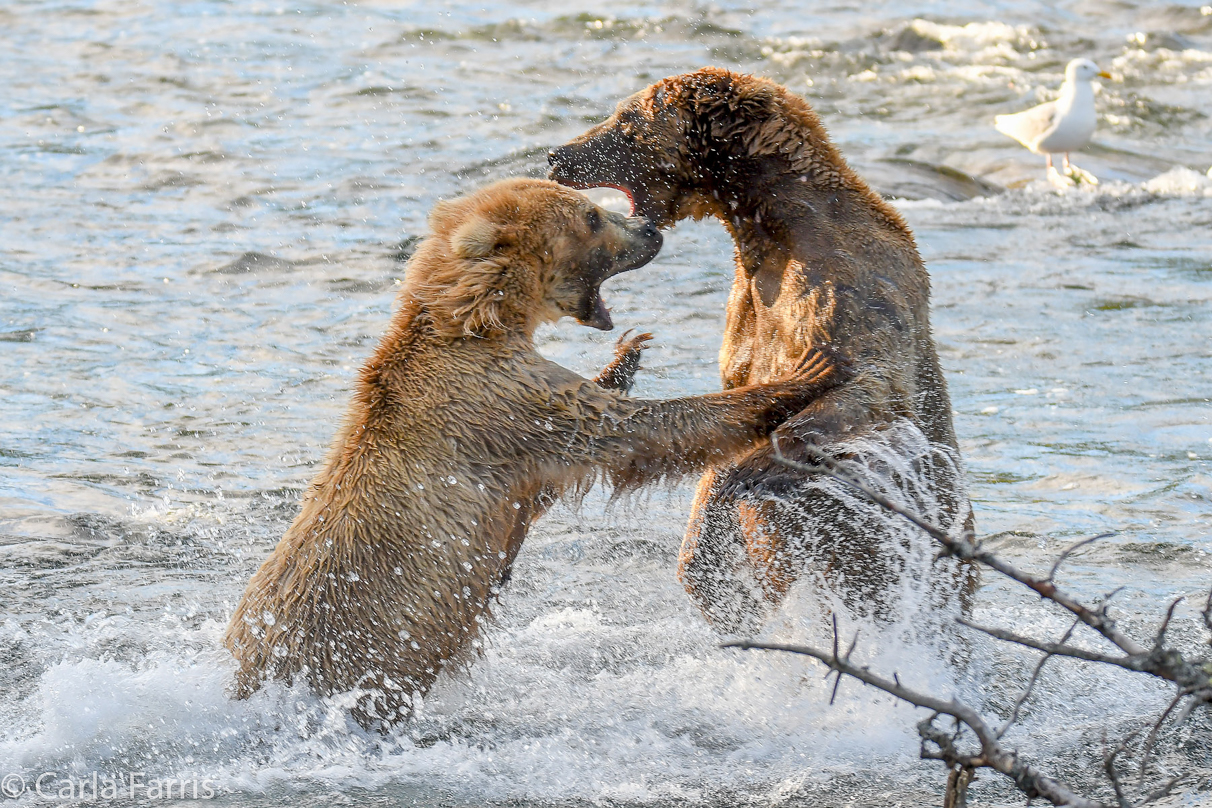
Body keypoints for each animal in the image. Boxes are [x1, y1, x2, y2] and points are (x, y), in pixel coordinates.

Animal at [227, 178, 853, 731]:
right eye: (592, 216)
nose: (649, 229)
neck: (481, 320)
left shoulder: (518, 434)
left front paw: (626, 354)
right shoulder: (498, 407)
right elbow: (632, 430)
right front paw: (804, 374)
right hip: (355, 648)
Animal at [550, 67, 974, 629]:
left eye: (624, 118)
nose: (556, 154)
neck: (767, 223)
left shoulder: (844, 285)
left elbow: (870, 381)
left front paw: (750, 469)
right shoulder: (748, 314)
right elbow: (728, 418)